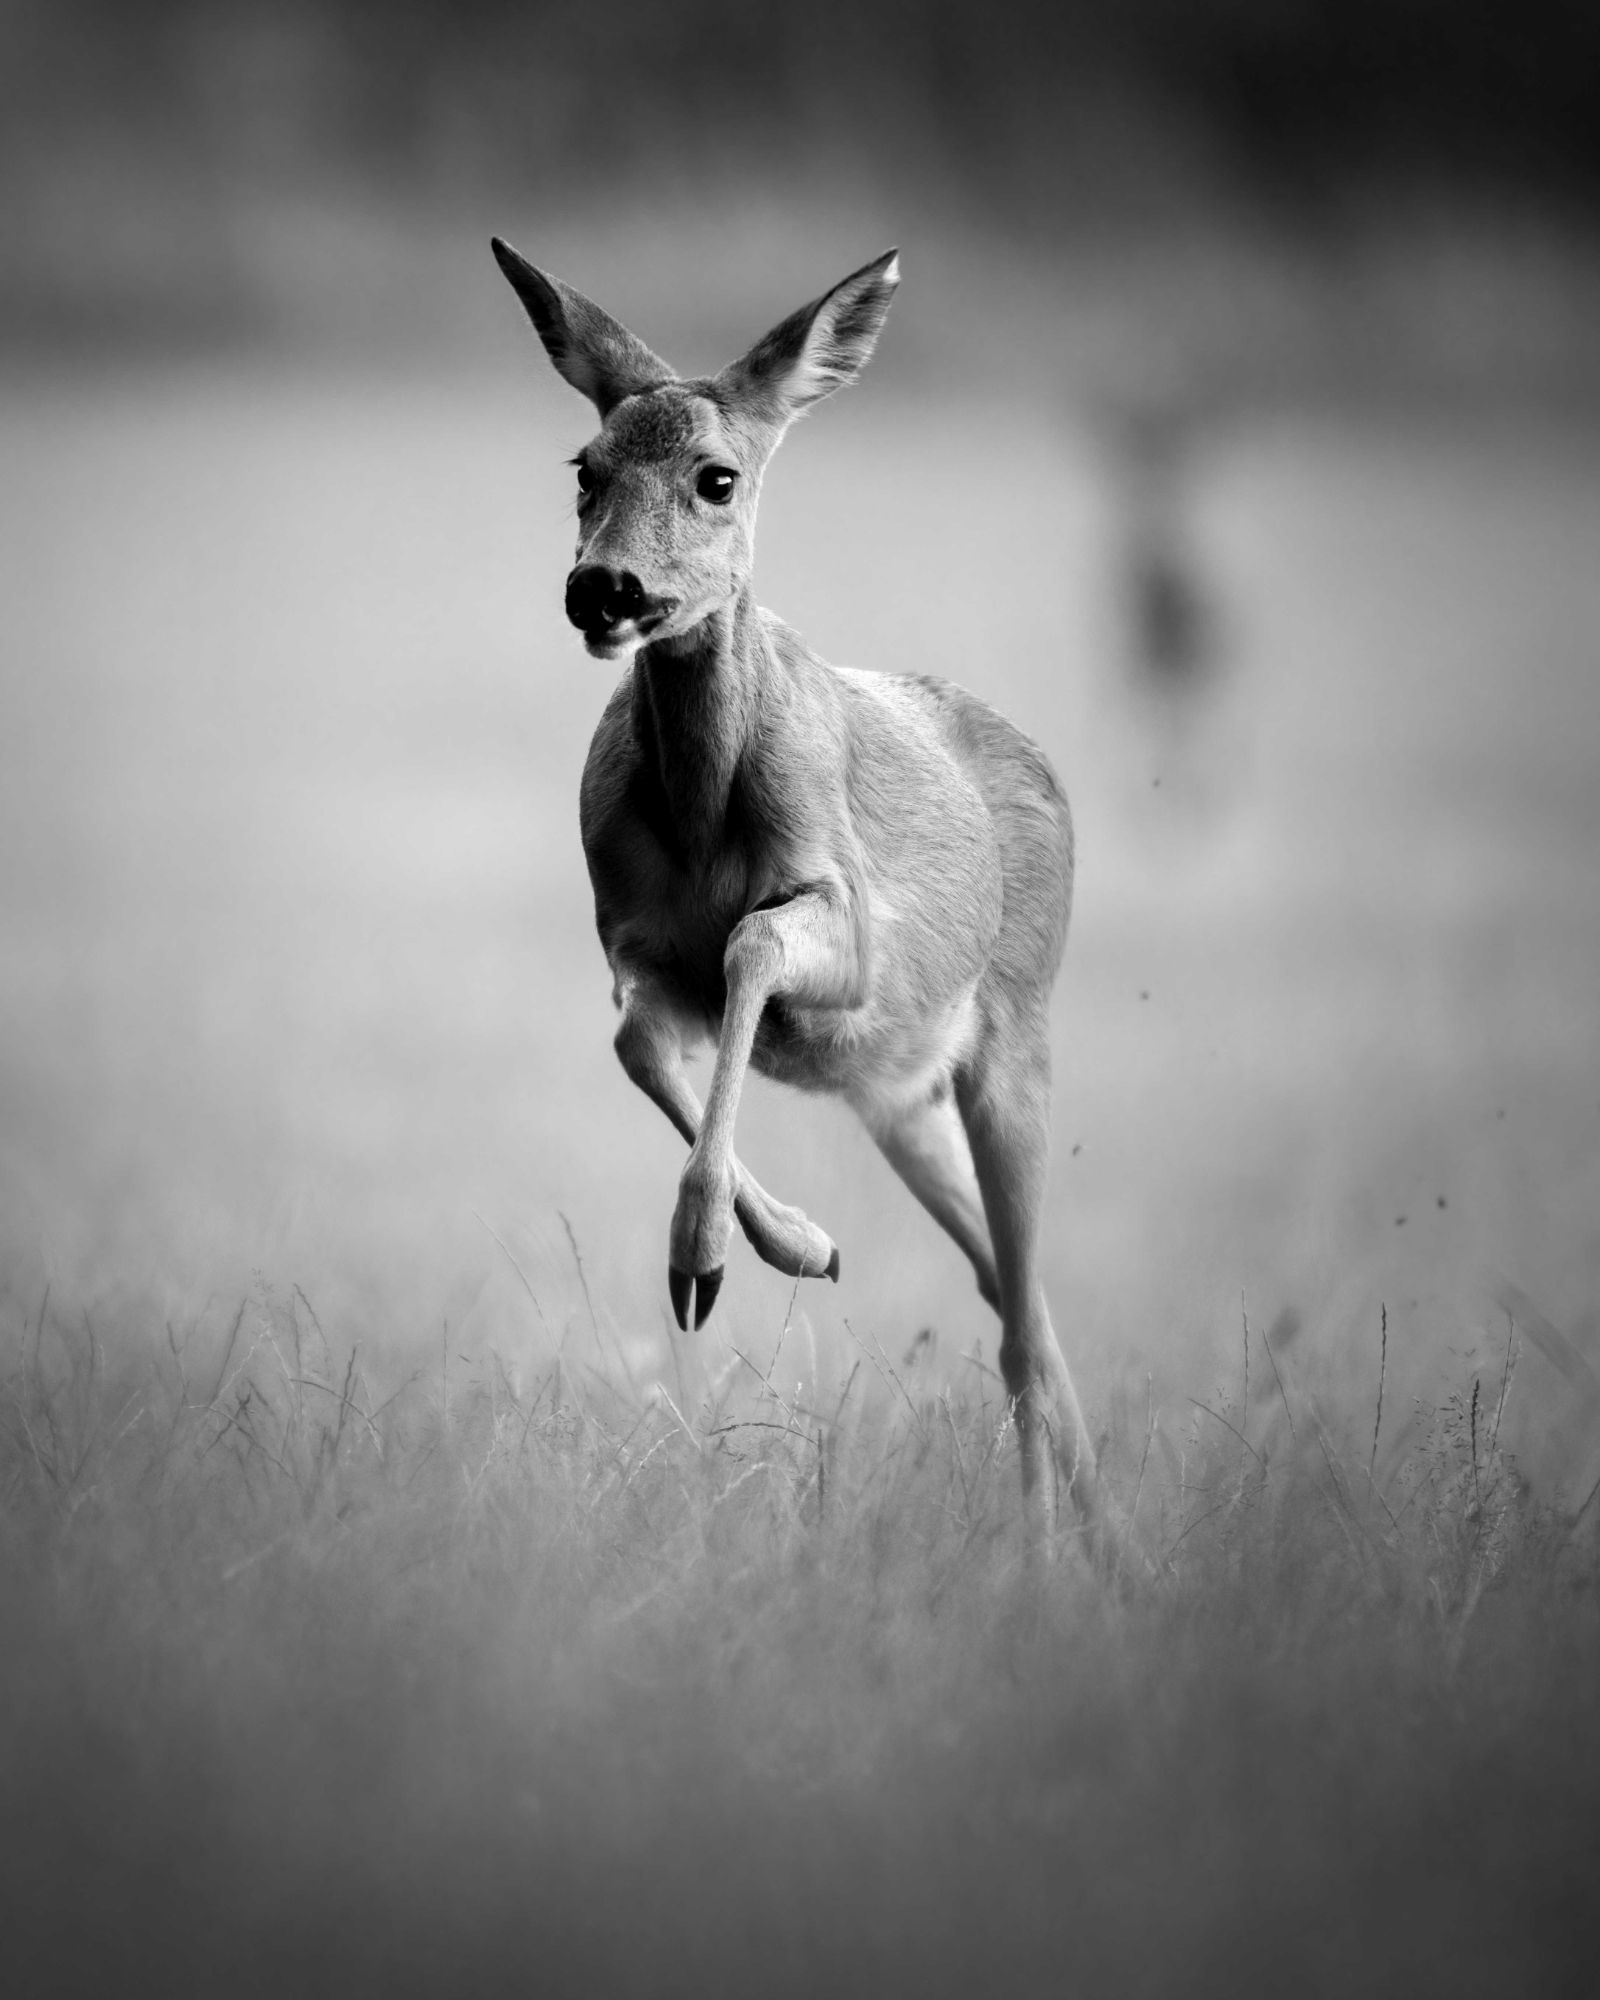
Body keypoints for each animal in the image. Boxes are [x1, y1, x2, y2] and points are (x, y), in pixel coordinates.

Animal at [494, 238, 1104, 1544]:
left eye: (717, 477)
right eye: (586, 468)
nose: (602, 589)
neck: (702, 822)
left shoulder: (847, 925)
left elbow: (752, 948)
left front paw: (706, 1258)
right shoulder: (631, 945)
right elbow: (634, 1038)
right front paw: (788, 1245)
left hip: (1015, 1031)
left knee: (1025, 1316)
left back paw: (1043, 1556)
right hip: (902, 1100)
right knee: (1006, 1287)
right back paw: (1105, 1542)